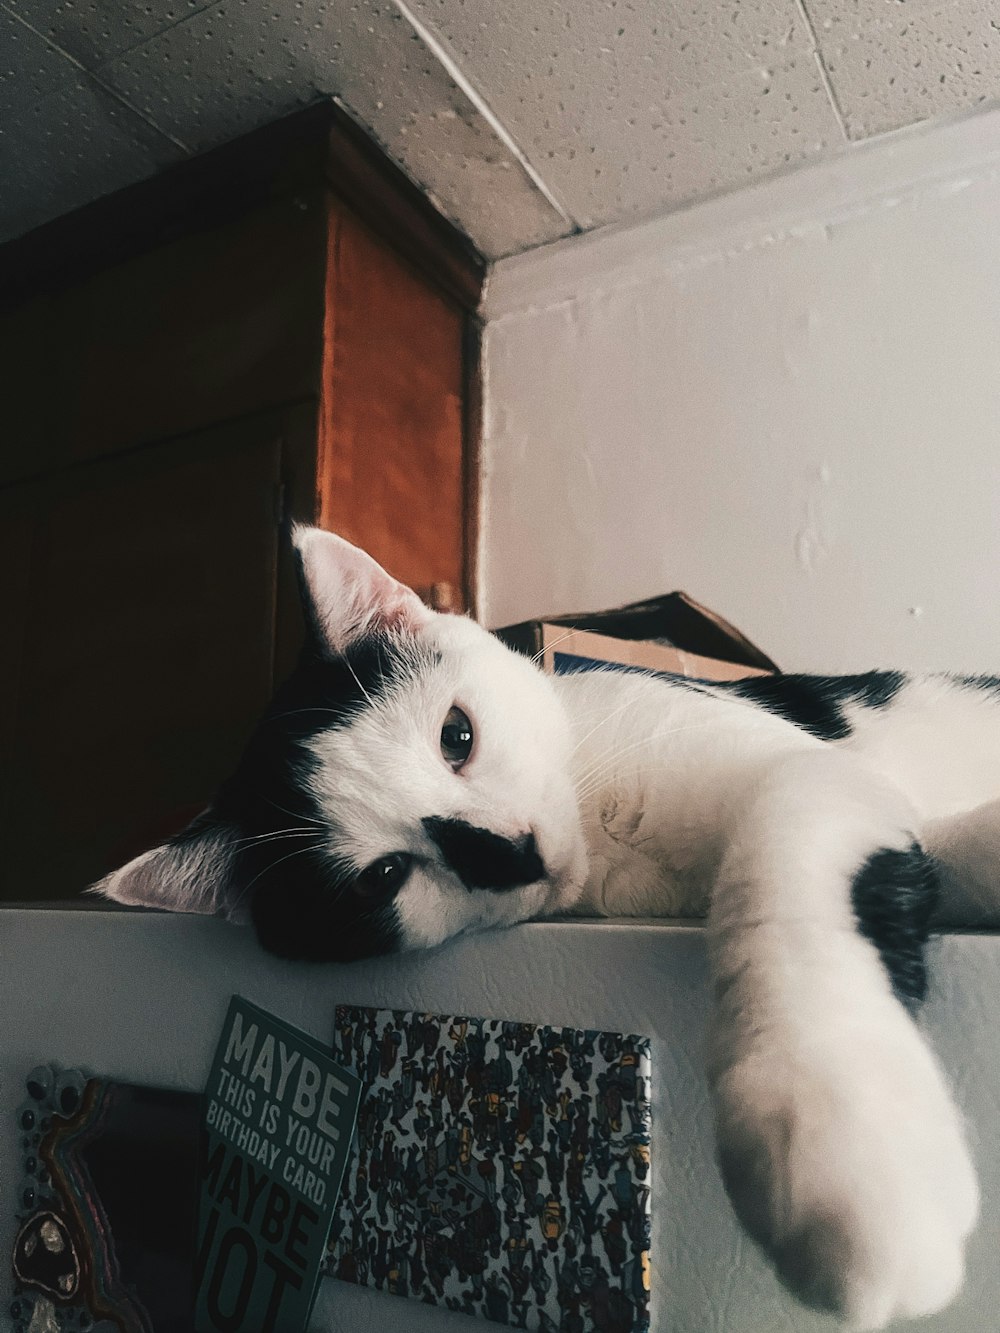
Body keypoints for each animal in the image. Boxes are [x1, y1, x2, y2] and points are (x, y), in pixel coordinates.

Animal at [96, 525, 1000, 1327]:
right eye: (383, 876)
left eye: (457, 735)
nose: (510, 851)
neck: (604, 835)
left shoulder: (804, 765)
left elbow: (796, 857)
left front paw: (844, 1139)